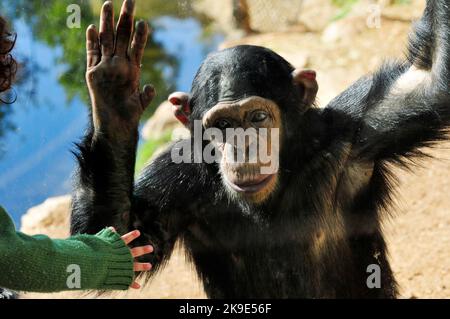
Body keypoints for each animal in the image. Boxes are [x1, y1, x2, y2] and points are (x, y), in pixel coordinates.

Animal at [72, 0, 450, 300]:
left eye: (257, 117)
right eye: (223, 125)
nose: (243, 148)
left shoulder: (362, 125)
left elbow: (429, 81)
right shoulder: (174, 175)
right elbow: (124, 238)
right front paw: (114, 98)